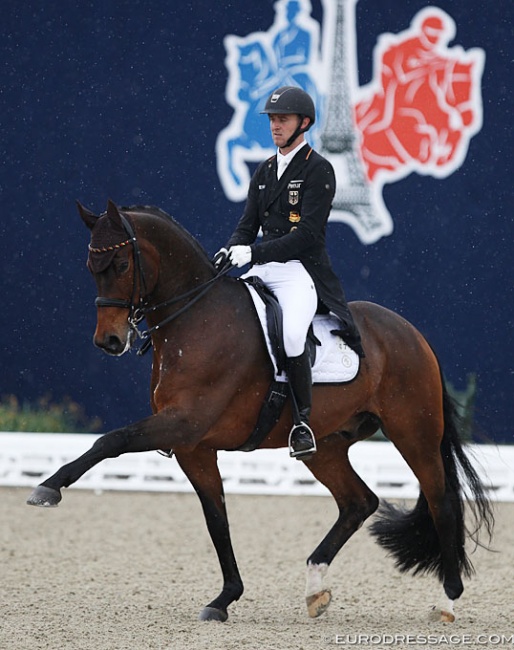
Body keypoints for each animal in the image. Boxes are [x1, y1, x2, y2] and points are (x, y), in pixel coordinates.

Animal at [26, 199, 490, 624]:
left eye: (121, 263)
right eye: (90, 266)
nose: (109, 341)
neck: (196, 318)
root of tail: (411, 333)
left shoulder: (182, 425)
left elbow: (111, 439)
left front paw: (48, 488)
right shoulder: (194, 447)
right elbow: (217, 520)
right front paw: (224, 599)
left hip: (414, 433)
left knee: (441, 502)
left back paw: (447, 601)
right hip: (325, 446)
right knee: (359, 502)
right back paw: (315, 588)